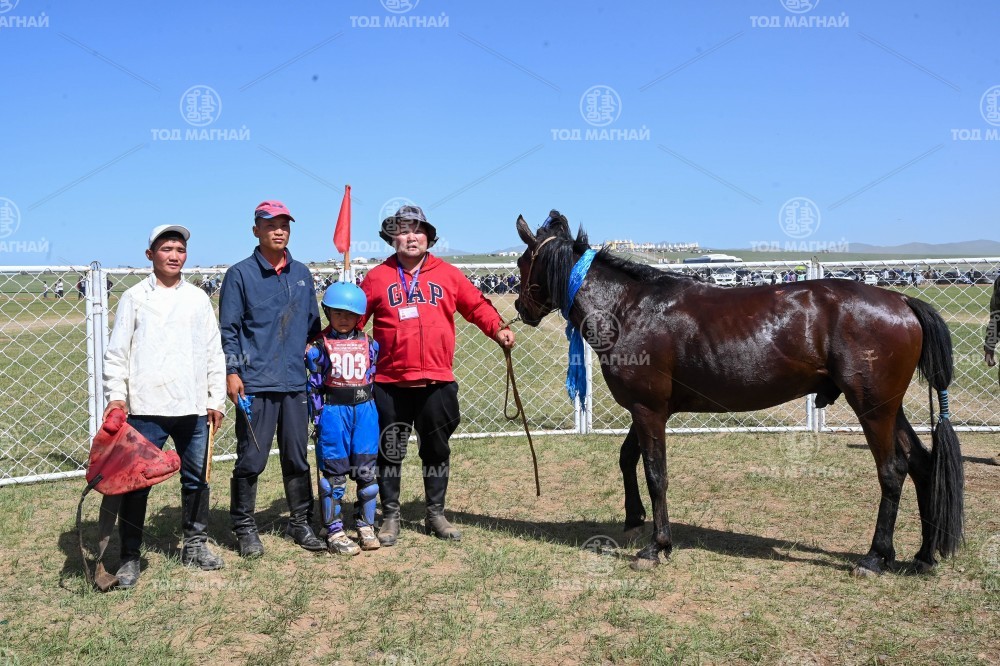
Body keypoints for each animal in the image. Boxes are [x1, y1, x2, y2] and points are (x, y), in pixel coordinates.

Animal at [513, 211, 964, 576]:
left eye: (522, 262)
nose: (520, 309)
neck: (629, 308)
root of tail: (902, 299)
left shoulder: (648, 409)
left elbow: (656, 473)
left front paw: (657, 547)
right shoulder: (650, 409)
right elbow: (628, 458)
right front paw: (634, 516)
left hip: (872, 408)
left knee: (893, 469)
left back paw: (874, 557)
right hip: (889, 407)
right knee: (922, 464)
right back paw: (923, 556)